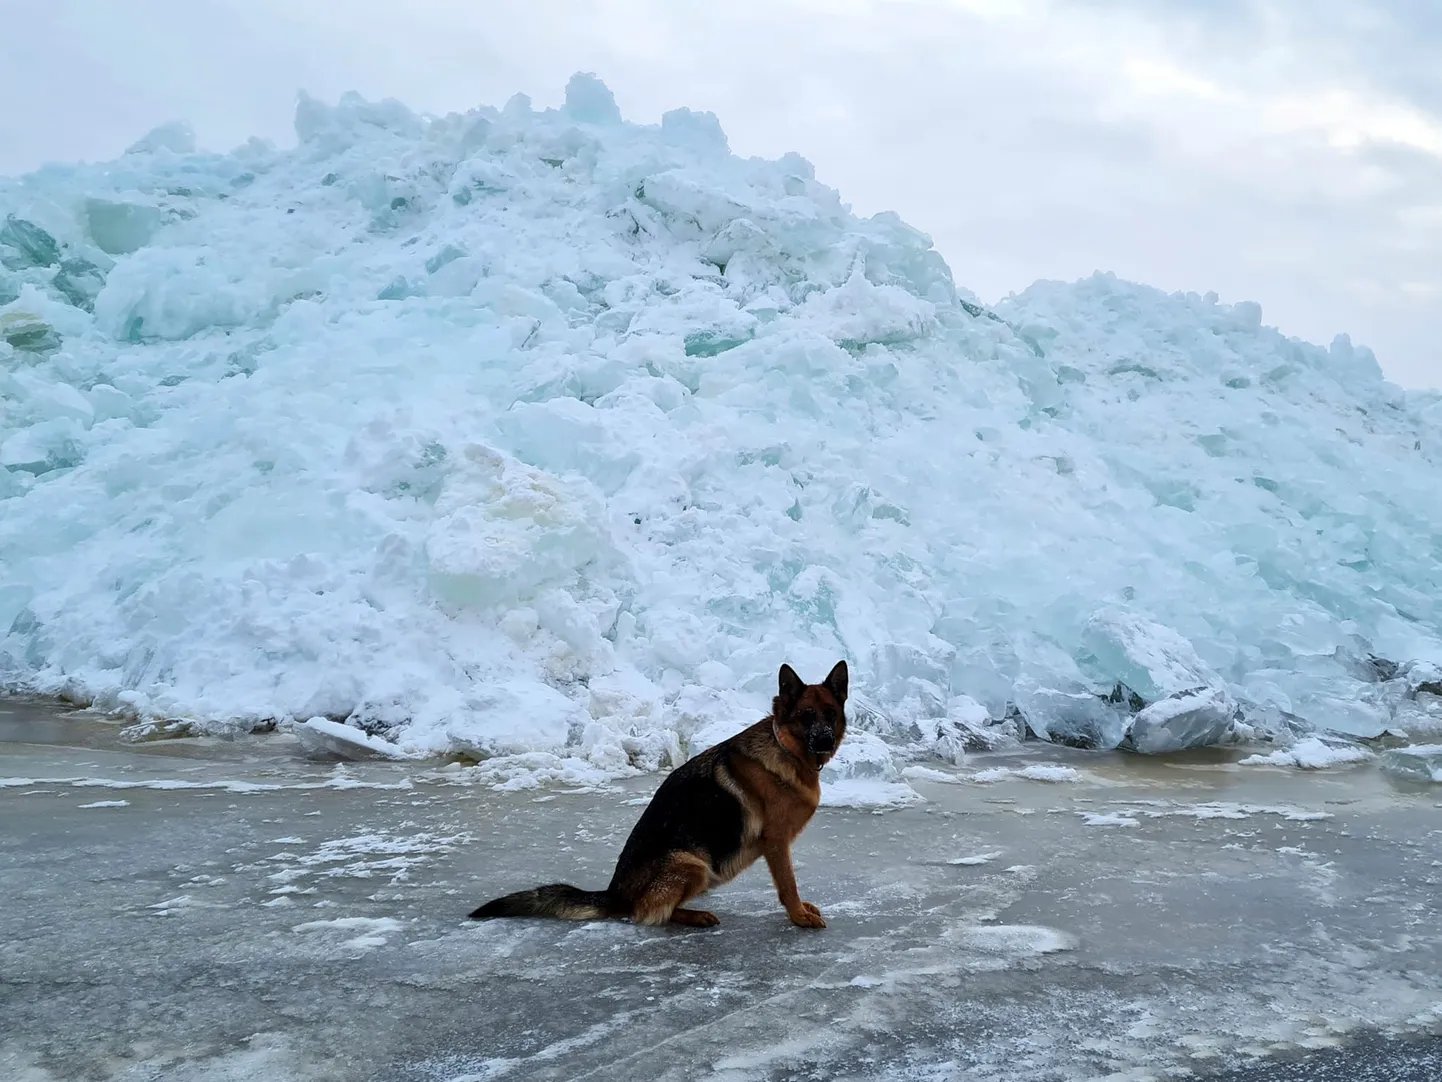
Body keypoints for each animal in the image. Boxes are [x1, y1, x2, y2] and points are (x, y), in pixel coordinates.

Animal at [467, 666, 842, 929]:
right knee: (646, 912)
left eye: (830, 714)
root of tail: (615, 893)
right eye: (806, 715)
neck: (786, 750)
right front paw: (799, 917)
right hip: (692, 863)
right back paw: (695, 916)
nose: (825, 739)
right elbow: (788, 884)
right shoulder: (776, 842)